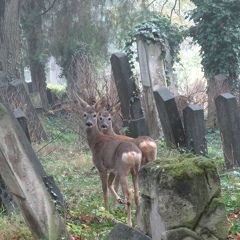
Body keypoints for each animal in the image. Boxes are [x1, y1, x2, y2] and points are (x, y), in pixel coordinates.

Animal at [76, 95, 142, 227]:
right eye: (84, 114)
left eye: (95, 115)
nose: (89, 123)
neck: (95, 142)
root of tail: (133, 154)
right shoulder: (112, 169)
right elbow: (111, 185)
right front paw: (118, 201)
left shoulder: (101, 167)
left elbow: (105, 190)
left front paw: (106, 214)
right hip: (135, 171)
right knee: (137, 193)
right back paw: (138, 222)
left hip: (123, 170)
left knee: (129, 192)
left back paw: (129, 222)